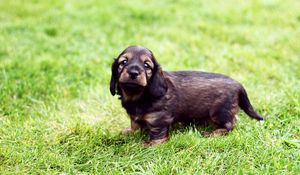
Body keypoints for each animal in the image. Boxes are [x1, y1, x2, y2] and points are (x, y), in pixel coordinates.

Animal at [109, 45, 262, 146]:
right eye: (123, 62)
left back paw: (214, 133)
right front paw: (129, 132)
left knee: (231, 124)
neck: (139, 96)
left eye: (147, 65)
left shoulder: (159, 119)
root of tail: (238, 84)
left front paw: (148, 145)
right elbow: (135, 124)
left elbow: (157, 135)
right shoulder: (135, 117)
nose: (133, 72)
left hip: (220, 112)